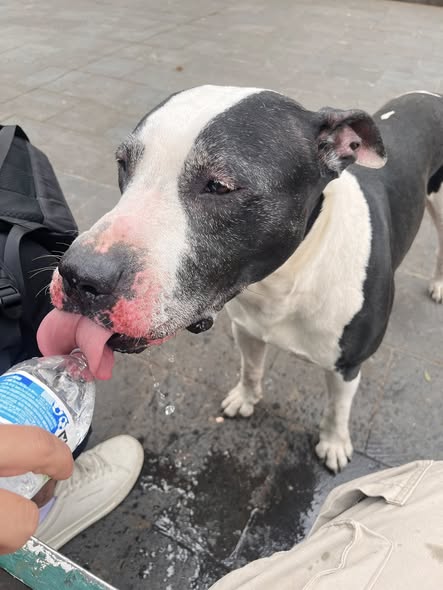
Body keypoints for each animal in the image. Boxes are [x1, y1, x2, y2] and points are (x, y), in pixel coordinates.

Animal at [49, 86, 443, 473]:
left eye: (220, 186)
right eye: (123, 164)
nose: (80, 276)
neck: (286, 279)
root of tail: (429, 95)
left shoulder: (347, 365)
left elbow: (337, 408)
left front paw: (334, 443)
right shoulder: (249, 328)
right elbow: (251, 368)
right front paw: (246, 398)